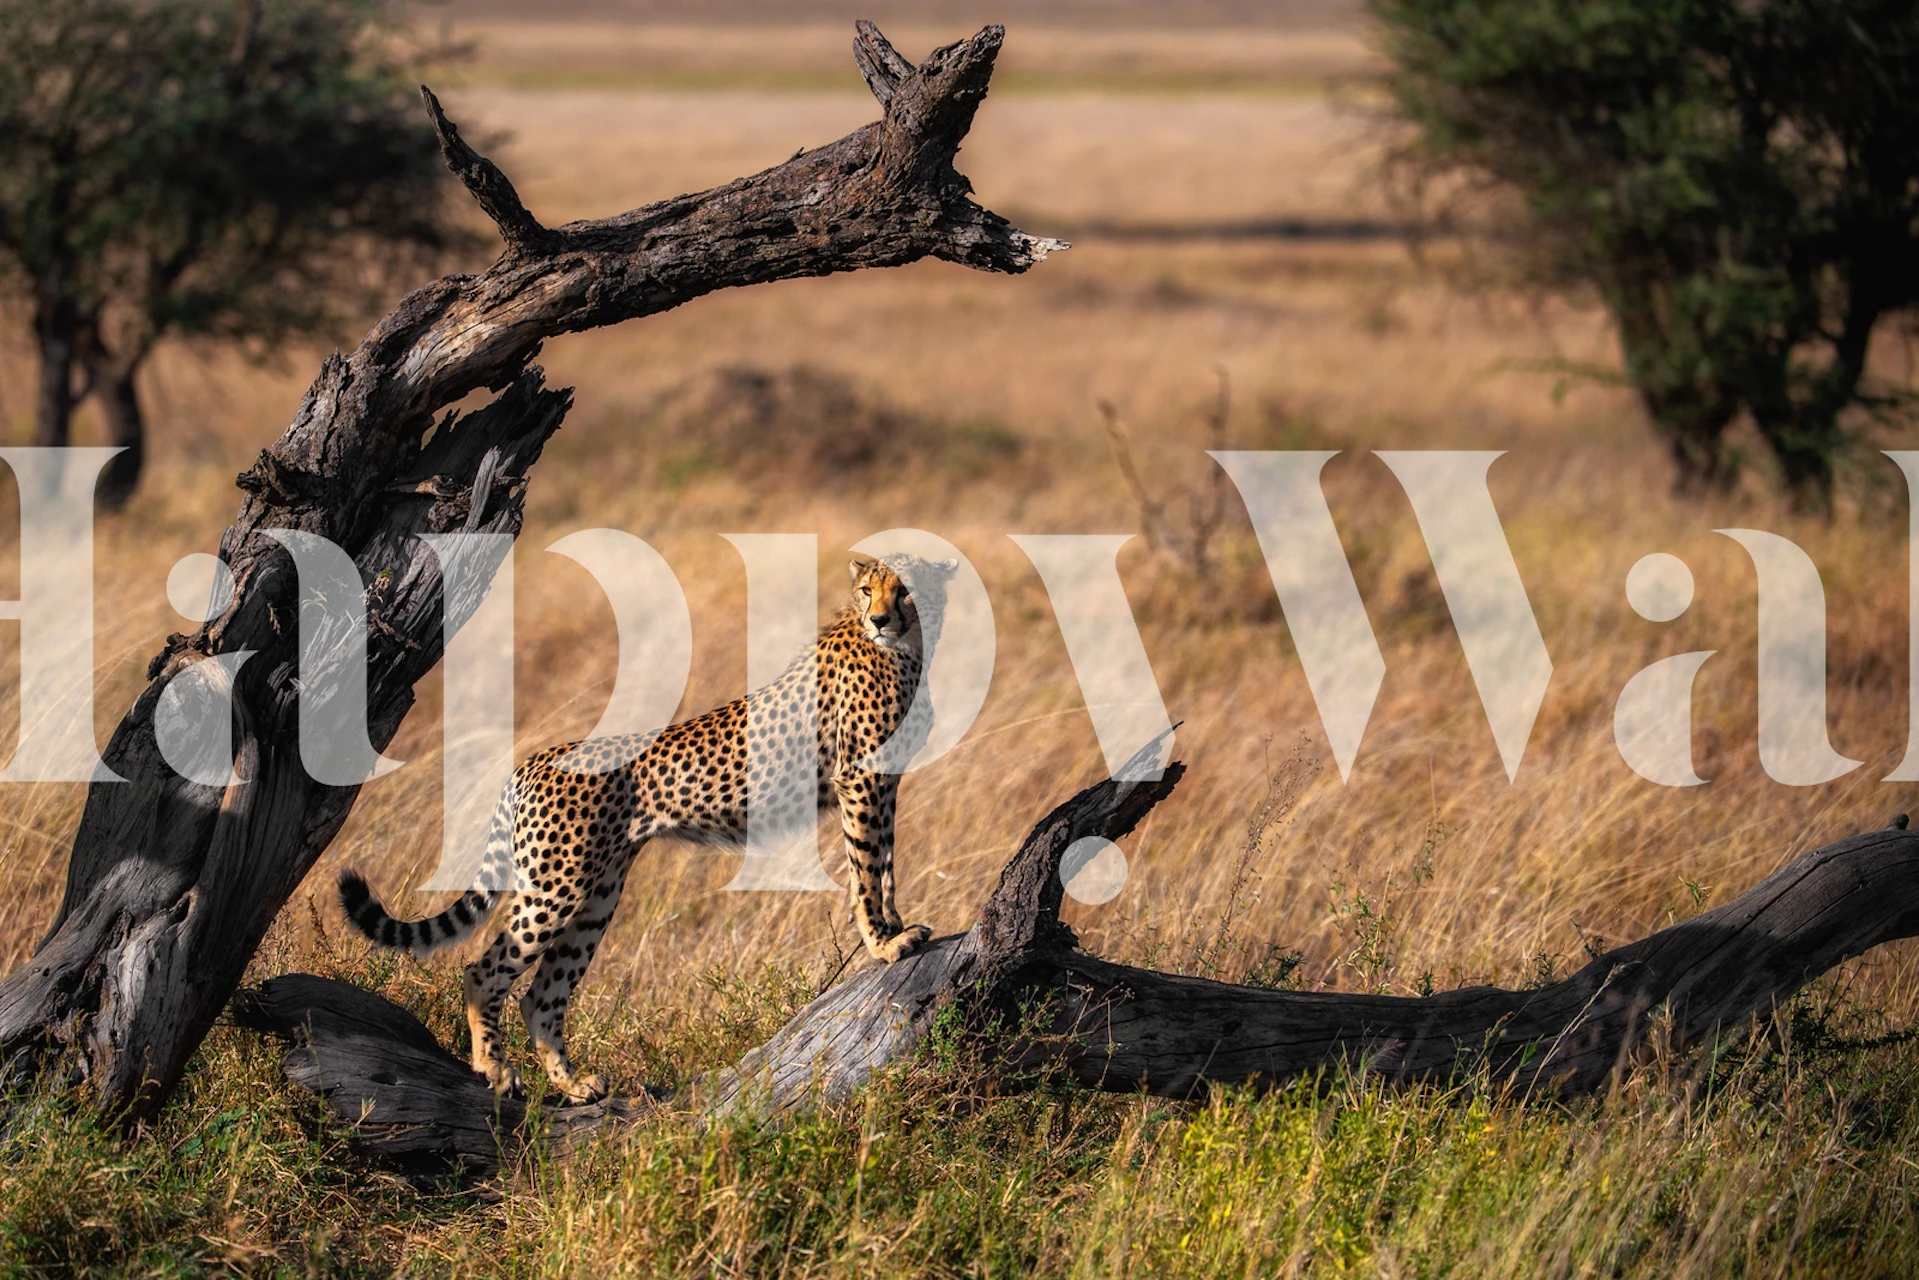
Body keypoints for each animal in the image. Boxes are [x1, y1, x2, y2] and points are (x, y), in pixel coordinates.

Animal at [338, 554, 942, 1103]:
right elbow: (866, 868)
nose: (882, 620)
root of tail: (534, 758)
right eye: (867, 590)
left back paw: (574, 1084)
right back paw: (496, 1069)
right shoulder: (860, 778)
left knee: (542, 994)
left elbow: (886, 863)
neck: (906, 648)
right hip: (556, 887)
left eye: (905, 589)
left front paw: (897, 925)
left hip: (596, 895)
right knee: (484, 970)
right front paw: (884, 945)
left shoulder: (885, 784)